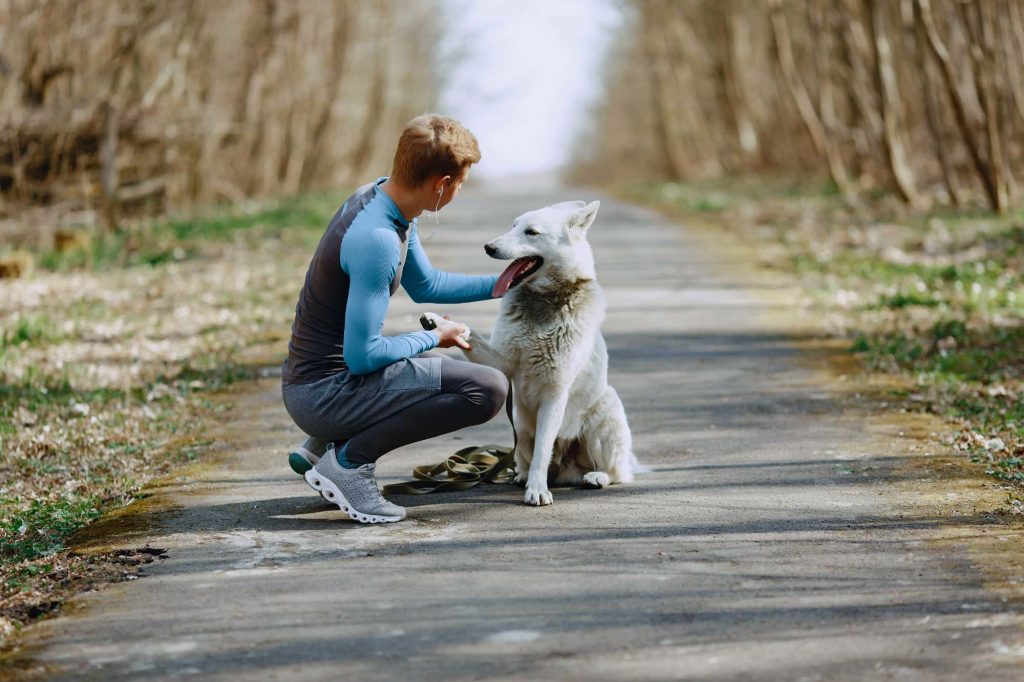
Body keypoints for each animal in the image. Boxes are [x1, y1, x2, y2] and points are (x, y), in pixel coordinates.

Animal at [421, 199, 630, 501]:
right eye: (513, 226)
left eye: (531, 232)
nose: (488, 247)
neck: (544, 300)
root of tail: (567, 469)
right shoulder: (503, 365)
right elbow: (471, 333)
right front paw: (440, 323)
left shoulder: (555, 392)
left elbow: (544, 449)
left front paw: (537, 491)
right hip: (520, 425)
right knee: (522, 457)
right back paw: (520, 475)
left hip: (606, 414)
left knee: (617, 472)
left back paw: (595, 476)